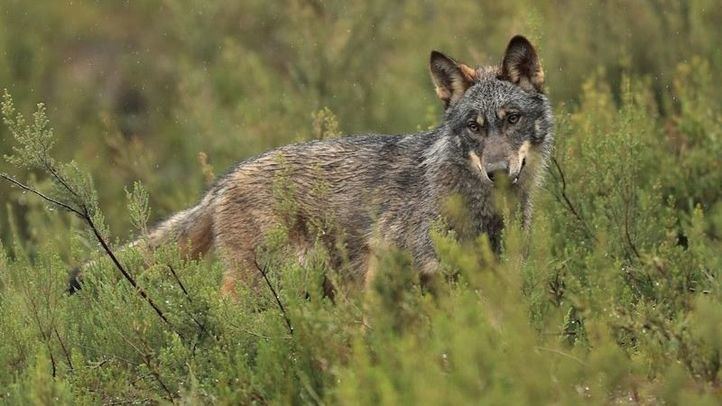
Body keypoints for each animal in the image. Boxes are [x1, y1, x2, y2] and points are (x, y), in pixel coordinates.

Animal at [69, 35, 553, 295]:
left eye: (512, 119)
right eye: (474, 127)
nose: (497, 172)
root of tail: (223, 181)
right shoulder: (390, 272)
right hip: (263, 282)